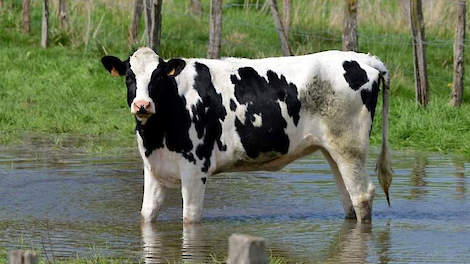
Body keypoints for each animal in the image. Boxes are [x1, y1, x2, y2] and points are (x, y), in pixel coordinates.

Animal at [103, 47, 392, 223]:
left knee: (362, 196)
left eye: (158, 77)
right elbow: (146, 215)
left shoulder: (195, 170)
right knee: (348, 198)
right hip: (333, 150)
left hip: (350, 147)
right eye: (129, 77)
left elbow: (190, 219)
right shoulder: (153, 168)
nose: (142, 105)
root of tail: (364, 59)